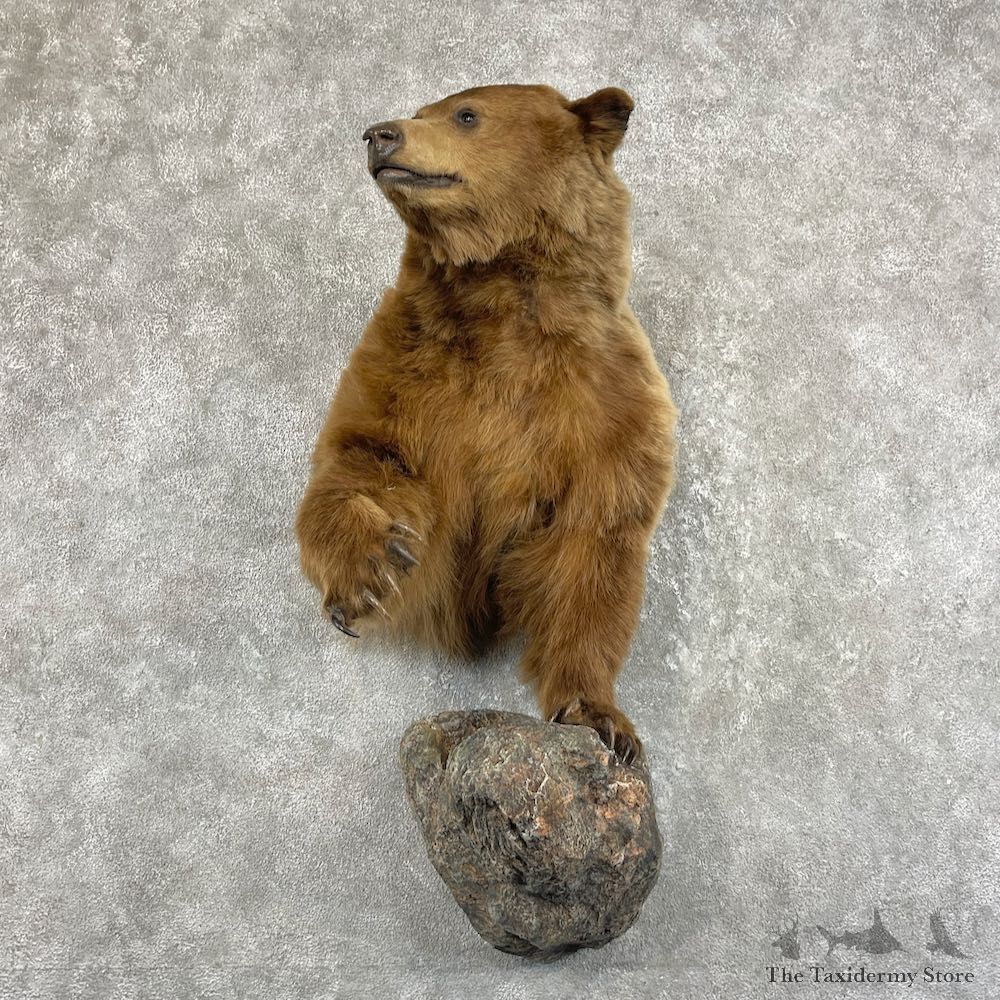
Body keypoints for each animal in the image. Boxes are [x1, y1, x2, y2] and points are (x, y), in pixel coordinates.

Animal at [296, 84, 677, 763]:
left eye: (465, 114)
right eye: (422, 109)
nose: (379, 134)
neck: (496, 288)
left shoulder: (606, 401)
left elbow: (594, 548)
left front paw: (600, 716)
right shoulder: (410, 364)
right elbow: (362, 453)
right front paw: (373, 568)